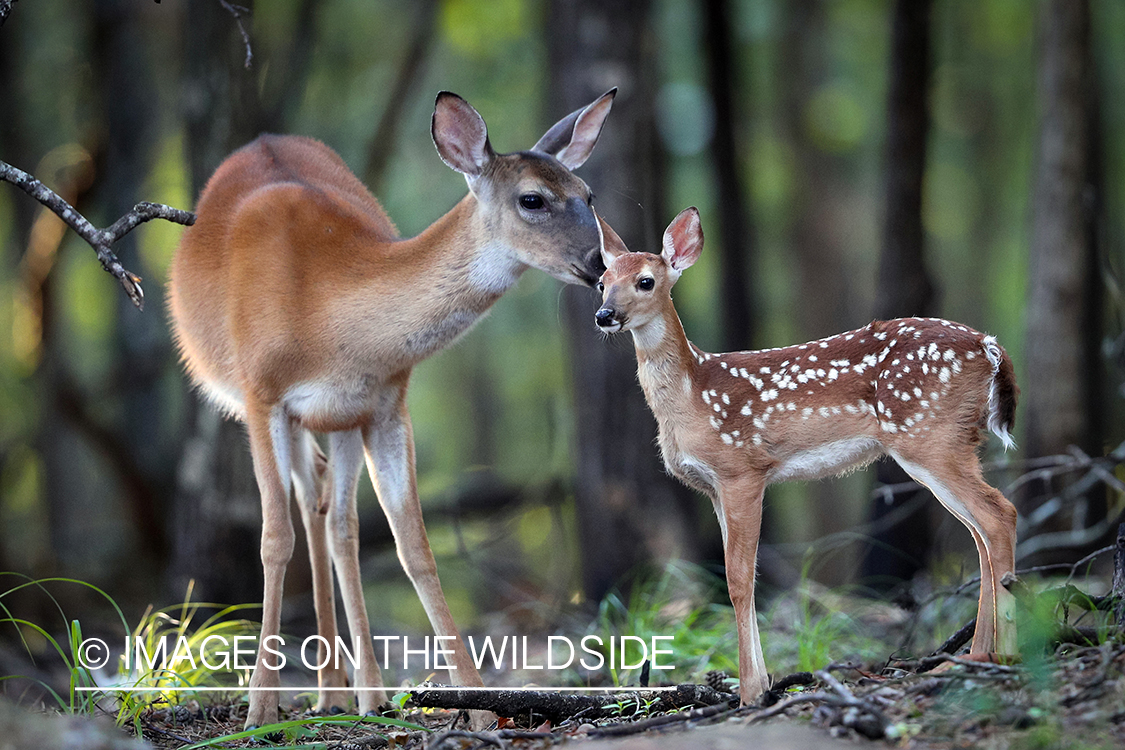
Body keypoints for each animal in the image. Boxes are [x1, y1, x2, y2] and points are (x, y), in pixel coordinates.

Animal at [168, 89, 616, 728]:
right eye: (533, 198)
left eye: (589, 194)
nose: (602, 264)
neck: (323, 312)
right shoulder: (262, 395)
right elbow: (273, 539)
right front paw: (258, 712)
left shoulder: (385, 402)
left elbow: (414, 546)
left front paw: (481, 708)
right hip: (286, 411)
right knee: (312, 511)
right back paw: (327, 694)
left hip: (338, 419)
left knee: (333, 518)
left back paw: (353, 695)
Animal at [598, 208, 1021, 706]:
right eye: (602, 280)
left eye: (645, 281)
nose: (604, 315)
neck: (691, 396)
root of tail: (990, 347)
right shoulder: (714, 488)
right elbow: (740, 576)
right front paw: (763, 684)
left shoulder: (742, 468)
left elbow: (739, 579)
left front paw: (749, 692)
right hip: (949, 443)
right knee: (980, 534)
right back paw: (974, 656)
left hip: (929, 437)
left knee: (999, 514)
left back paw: (1006, 655)